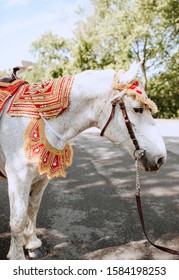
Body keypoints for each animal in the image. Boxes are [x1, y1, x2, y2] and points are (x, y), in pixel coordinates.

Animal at [0, 62, 166, 260]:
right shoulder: (19, 177)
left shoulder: (40, 178)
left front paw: (32, 244)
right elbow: (18, 220)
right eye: (137, 109)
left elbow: (32, 210)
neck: (36, 117)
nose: (161, 158)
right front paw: (17, 256)